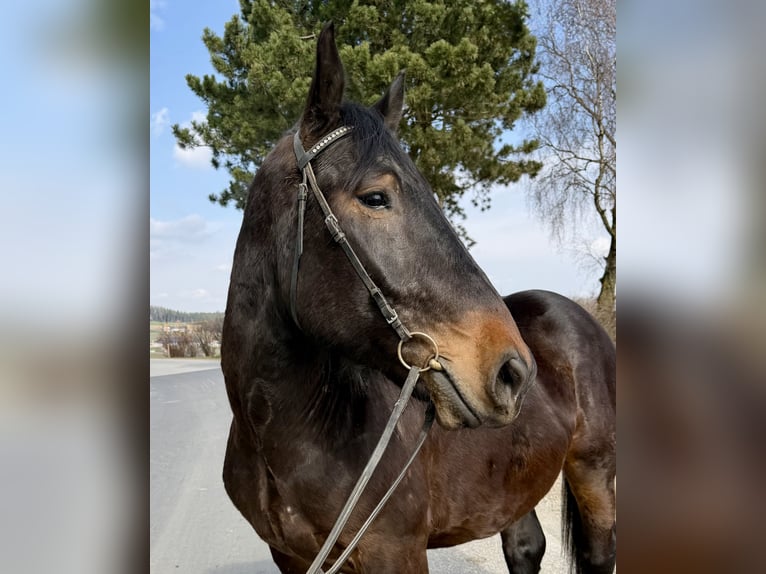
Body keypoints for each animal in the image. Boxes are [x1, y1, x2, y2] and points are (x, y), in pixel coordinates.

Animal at [221, 23, 616, 574]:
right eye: (375, 197)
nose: (514, 372)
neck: (284, 437)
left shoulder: (395, 551)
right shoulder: (291, 557)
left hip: (595, 473)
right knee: (525, 547)